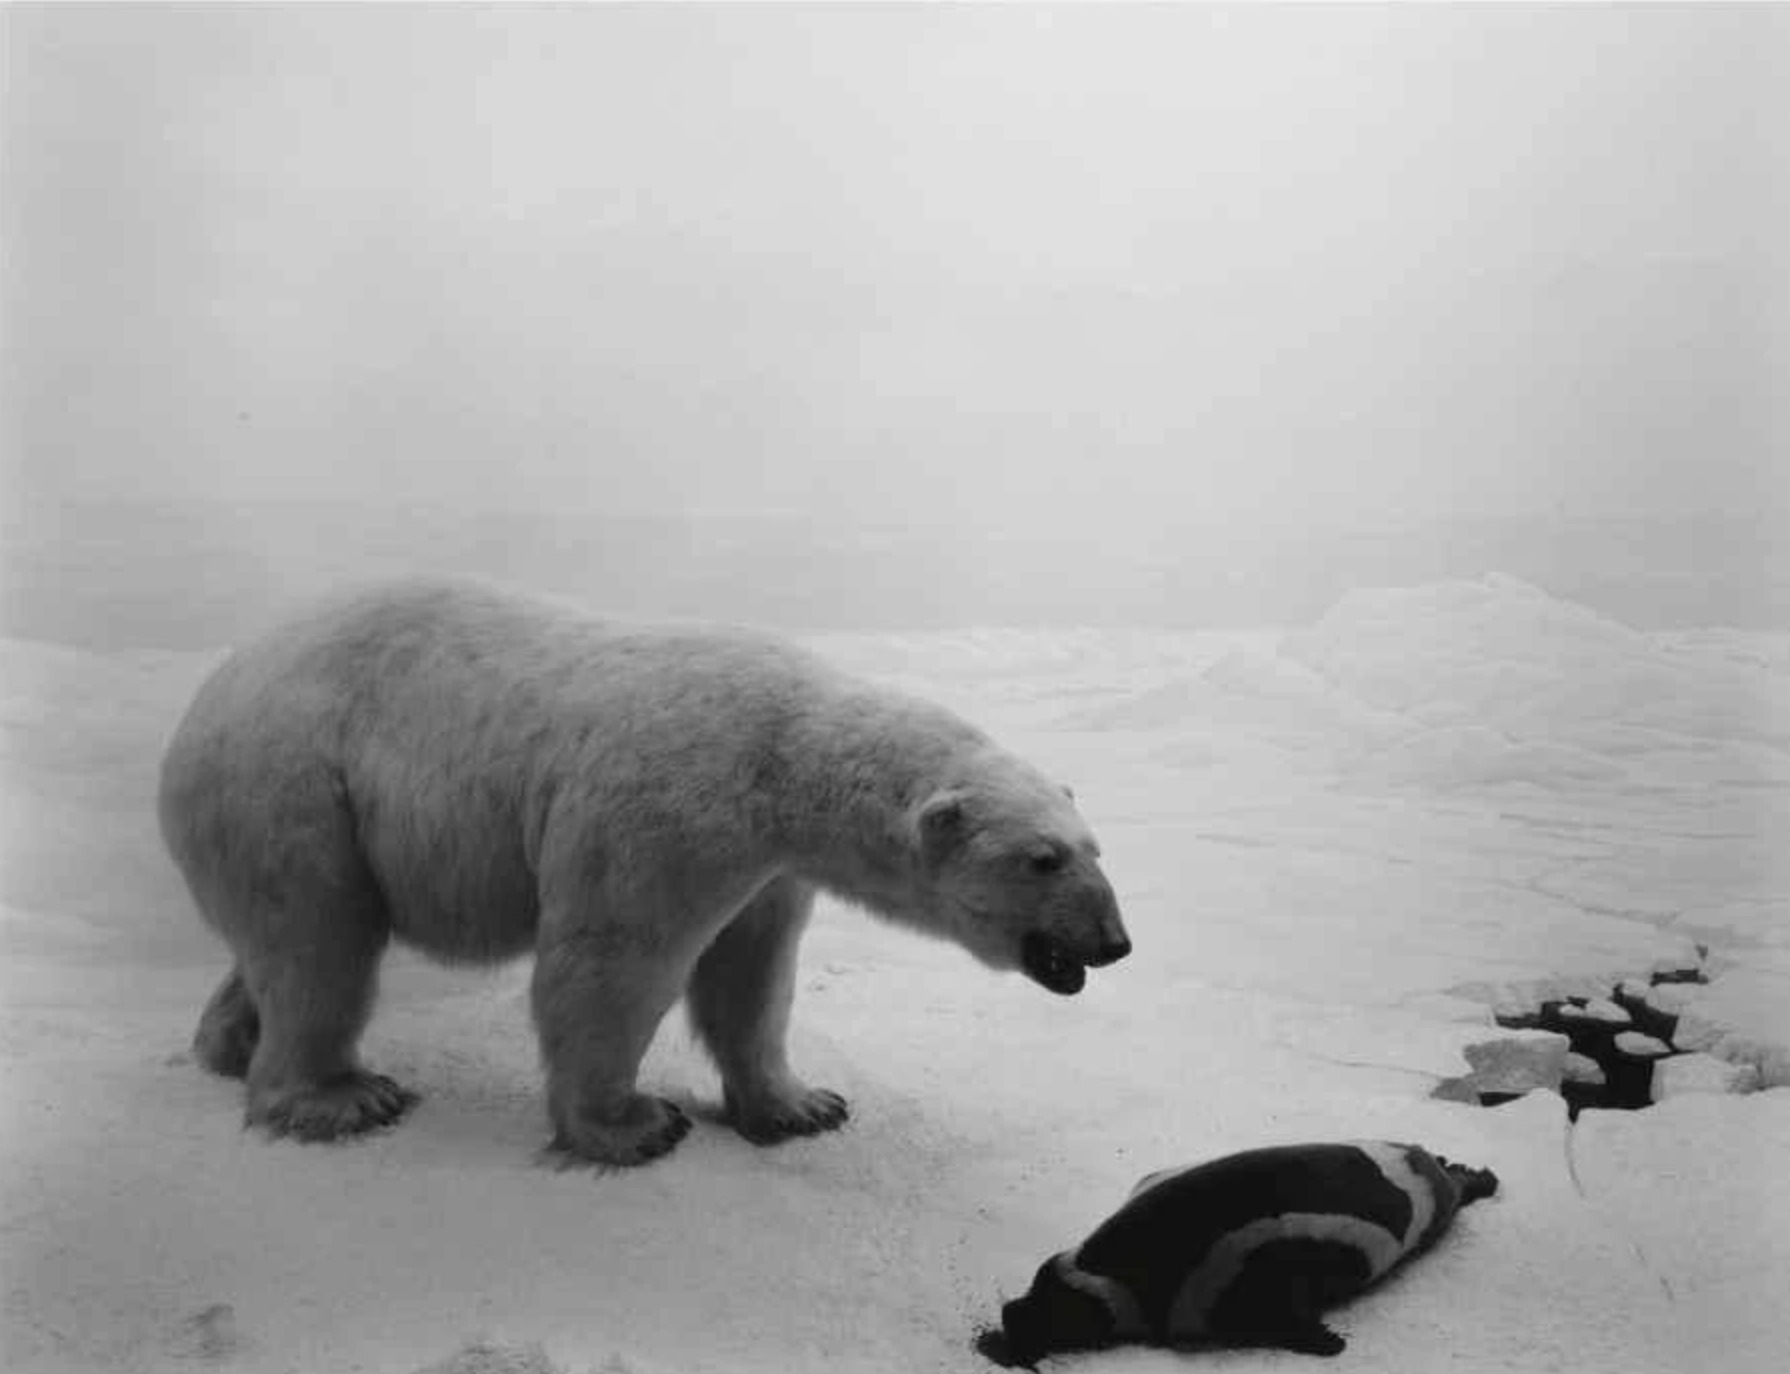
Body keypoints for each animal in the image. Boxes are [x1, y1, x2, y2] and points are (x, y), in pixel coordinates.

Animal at [157, 572, 1131, 1166]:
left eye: (1095, 847)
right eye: (1043, 859)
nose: (1115, 942)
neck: (786, 754)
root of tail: (207, 697)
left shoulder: (768, 865)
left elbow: (753, 976)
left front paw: (802, 1105)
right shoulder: (671, 806)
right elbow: (615, 959)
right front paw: (632, 1125)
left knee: (284, 944)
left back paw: (228, 1044)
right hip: (296, 785)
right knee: (321, 941)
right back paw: (339, 1096)